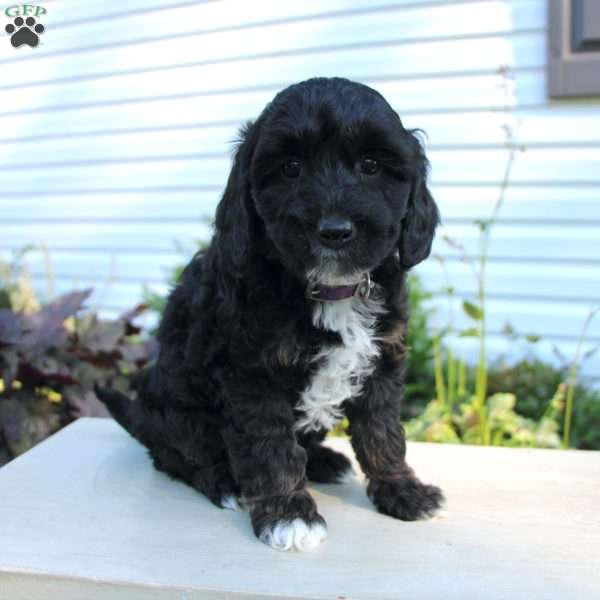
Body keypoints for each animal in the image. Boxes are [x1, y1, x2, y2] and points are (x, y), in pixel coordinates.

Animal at [96, 76, 442, 552]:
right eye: (290, 169)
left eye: (371, 165)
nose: (334, 230)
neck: (327, 290)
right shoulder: (251, 374)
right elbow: (270, 446)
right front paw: (288, 514)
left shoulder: (382, 361)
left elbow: (383, 432)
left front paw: (403, 490)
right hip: (175, 414)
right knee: (176, 457)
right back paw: (223, 482)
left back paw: (325, 461)